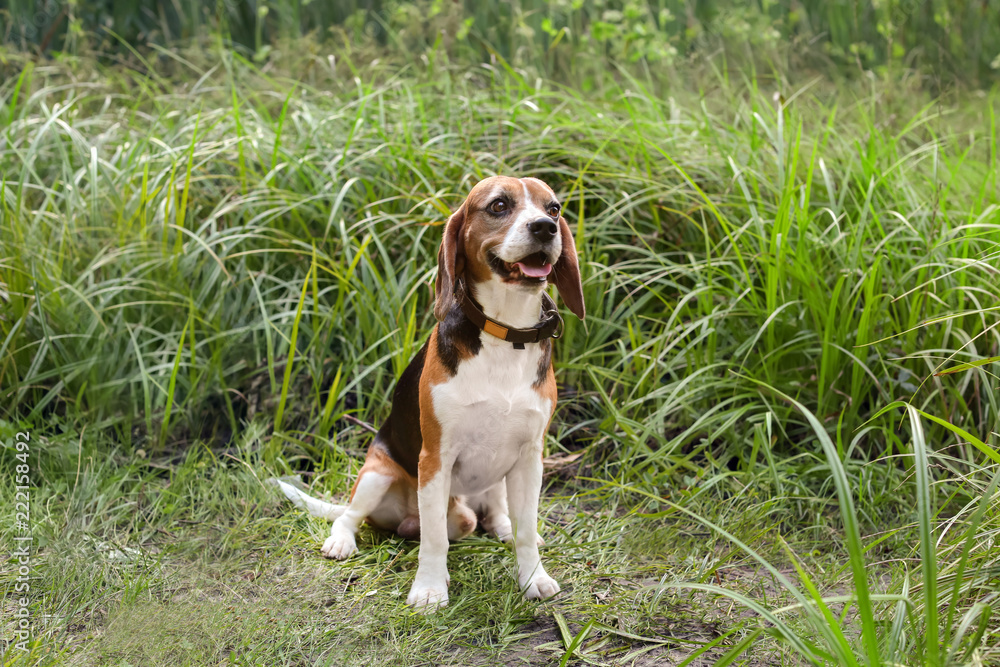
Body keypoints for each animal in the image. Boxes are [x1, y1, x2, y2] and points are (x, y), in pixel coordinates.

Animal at [274, 175, 584, 608]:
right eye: (499, 205)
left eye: (553, 208)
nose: (544, 228)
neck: (505, 333)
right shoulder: (436, 457)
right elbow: (435, 536)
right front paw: (430, 589)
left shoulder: (529, 458)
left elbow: (525, 530)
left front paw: (533, 577)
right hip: (376, 476)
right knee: (355, 517)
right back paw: (343, 540)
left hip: (497, 480)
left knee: (493, 515)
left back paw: (502, 526)